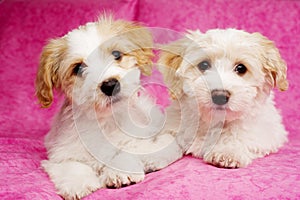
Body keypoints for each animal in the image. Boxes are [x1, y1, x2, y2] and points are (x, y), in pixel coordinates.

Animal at [37, 15, 183, 198]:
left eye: (116, 54)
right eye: (78, 68)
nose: (110, 85)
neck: (106, 121)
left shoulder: (136, 139)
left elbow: (125, 151)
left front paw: (119, 171)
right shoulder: (61, 151)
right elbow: (70, 164)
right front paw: (77, 183)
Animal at [159, 28, 288, 169]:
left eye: (241, 68)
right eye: (204, 65)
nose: (220, 96)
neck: (214, 121)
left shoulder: (267, 132)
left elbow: (240, 135)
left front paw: (227, 151)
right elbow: (165, 138)